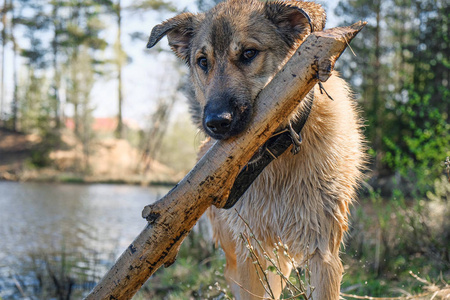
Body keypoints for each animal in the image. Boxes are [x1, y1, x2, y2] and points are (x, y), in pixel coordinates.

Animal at [148, 1, 366, 298]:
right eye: (203, 62)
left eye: (249, 53)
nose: (216, 122)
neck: (277, 153)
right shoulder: (249, 251)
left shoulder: (324, 251)